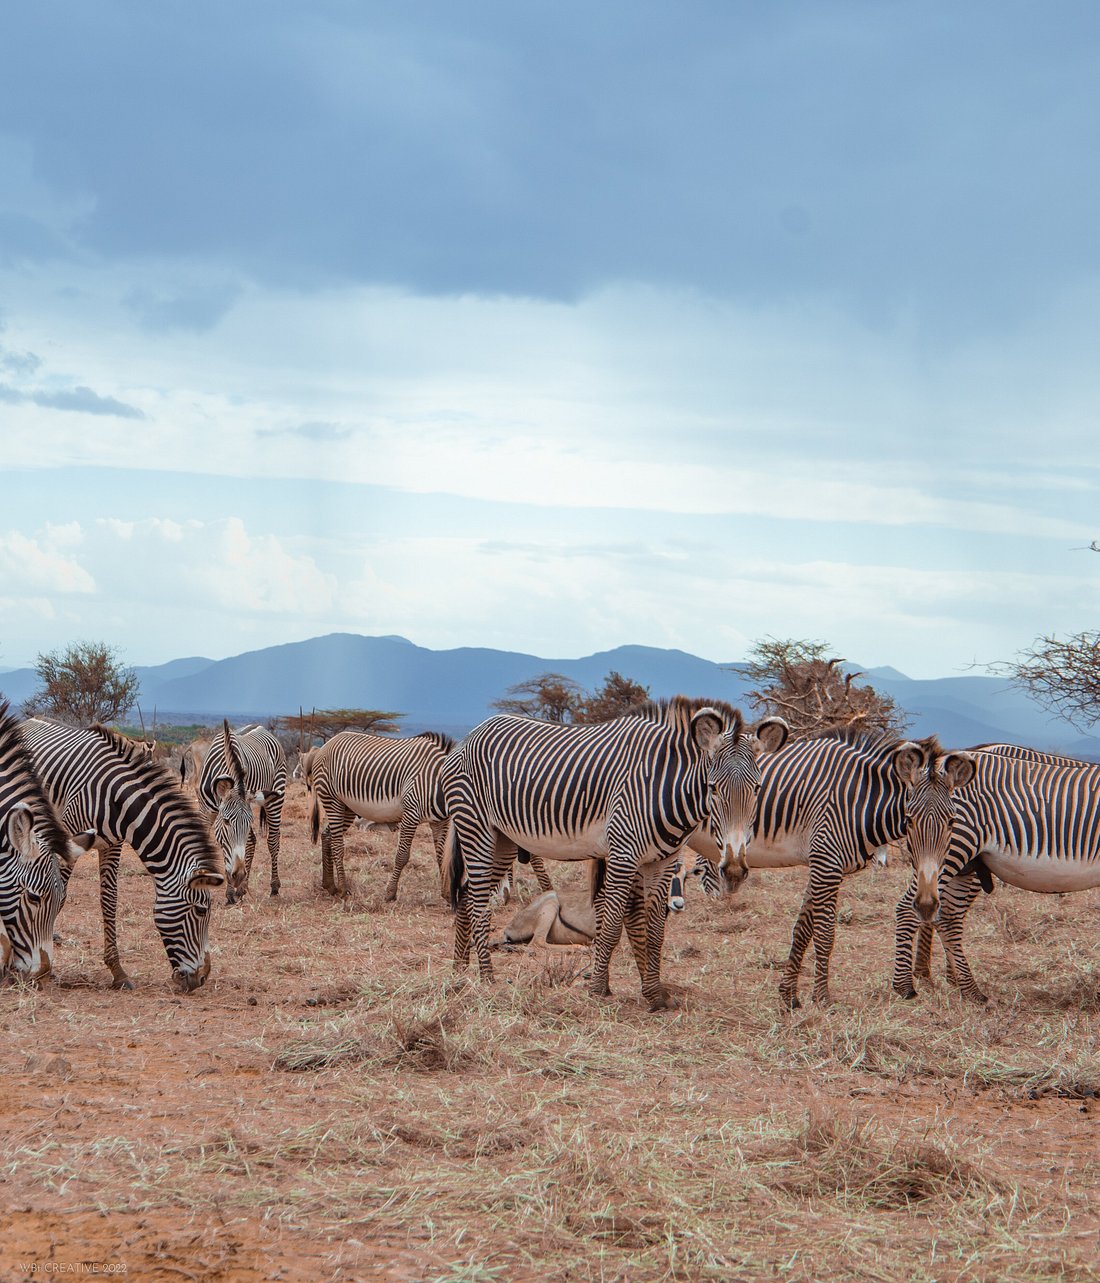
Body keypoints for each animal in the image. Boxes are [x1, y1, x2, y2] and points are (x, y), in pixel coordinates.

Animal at [20, 717, 224, 991]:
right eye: (201, 910)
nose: (201, 979)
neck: (118, 800)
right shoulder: (68, 840)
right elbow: (57, 896)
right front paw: (44, 964)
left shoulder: (112, 845)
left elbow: (109, 901)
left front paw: (117, 971)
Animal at [197, 721, 287, 901]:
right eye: (226, 821)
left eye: (248, 822)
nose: (238, 876)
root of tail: (261, 727)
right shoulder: (205, 810)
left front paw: (230, 893)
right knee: (252, 841)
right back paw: (243, 888)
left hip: (276, 794)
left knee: (272, 840)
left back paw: (272, 887)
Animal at [441, 697, 788, 1010]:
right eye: (713, 787)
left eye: (757, 788)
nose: (733, 870)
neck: (661, 785)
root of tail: (471, 734)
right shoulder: (623, 855)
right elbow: (609, 925)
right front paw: (598, 990)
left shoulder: (662, 862)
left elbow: (655, 930)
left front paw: (656, 995)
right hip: (477, 827)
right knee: (478, 902)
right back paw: (486, 978)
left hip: (504, 839)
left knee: (468, 894)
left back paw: (460, 971)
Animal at [687, 730, 975, 1007]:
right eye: (910, 820)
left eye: (952, 821)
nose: (926, 905)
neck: (857, 801)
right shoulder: (827, 864)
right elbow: (826, 934)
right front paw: (823, 998)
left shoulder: (823, 865)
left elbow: (803, 930)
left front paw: (789, 996)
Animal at [893, 744, 1100, 1003]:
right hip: (954, 850)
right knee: (910, 908)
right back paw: (906, 986)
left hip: (963, 864)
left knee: (946, 916)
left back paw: (967, 989)